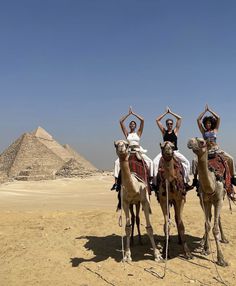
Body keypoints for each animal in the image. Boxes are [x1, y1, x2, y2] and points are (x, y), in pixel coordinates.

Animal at [187, 137, 228, 268]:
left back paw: (224, 238)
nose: (190, 142)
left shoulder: (219, 200)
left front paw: (221, 259)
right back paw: (202, 242)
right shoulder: (204, 200)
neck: (212, 185)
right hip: (206, 202)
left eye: (202, 142)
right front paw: (206, 248)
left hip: (220, 199)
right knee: (208, 219)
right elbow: (207, 224)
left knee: (218, 218)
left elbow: (215, 228)